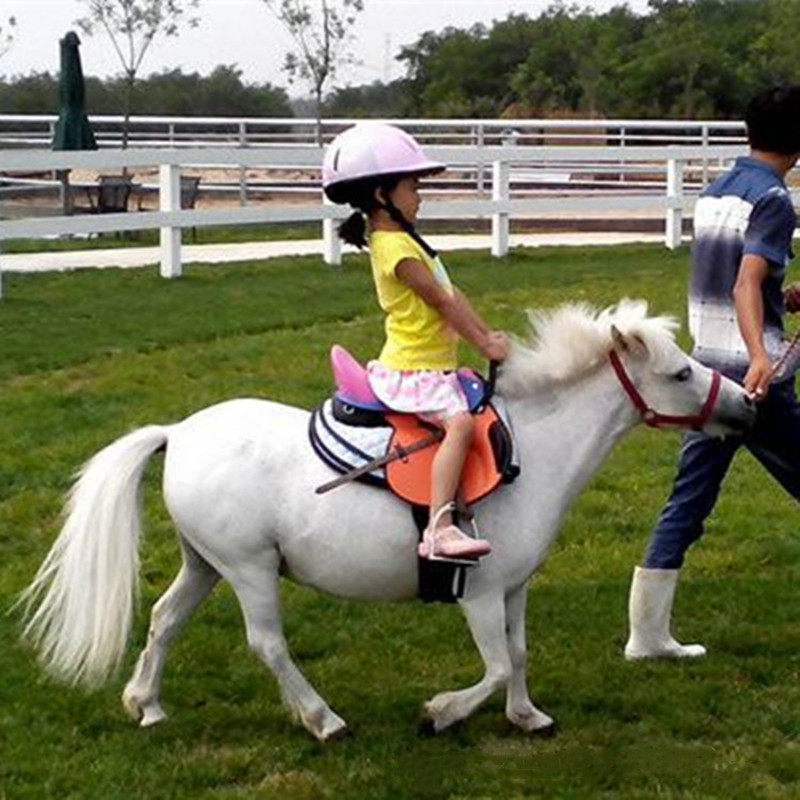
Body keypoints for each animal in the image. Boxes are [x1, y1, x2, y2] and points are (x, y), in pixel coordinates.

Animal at [19, 299, 755, 741]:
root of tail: (178, 432)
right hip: (250, 569)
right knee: (268, 645)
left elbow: (517, 656)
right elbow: (491, 667)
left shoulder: (514, 589)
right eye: (682, 374)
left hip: (205, 563)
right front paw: (441, 713)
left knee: (165, 620)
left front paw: (527, 716)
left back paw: (147, 704)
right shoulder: (479, 594)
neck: (533, 452)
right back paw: (323, 720)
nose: (747, 406)